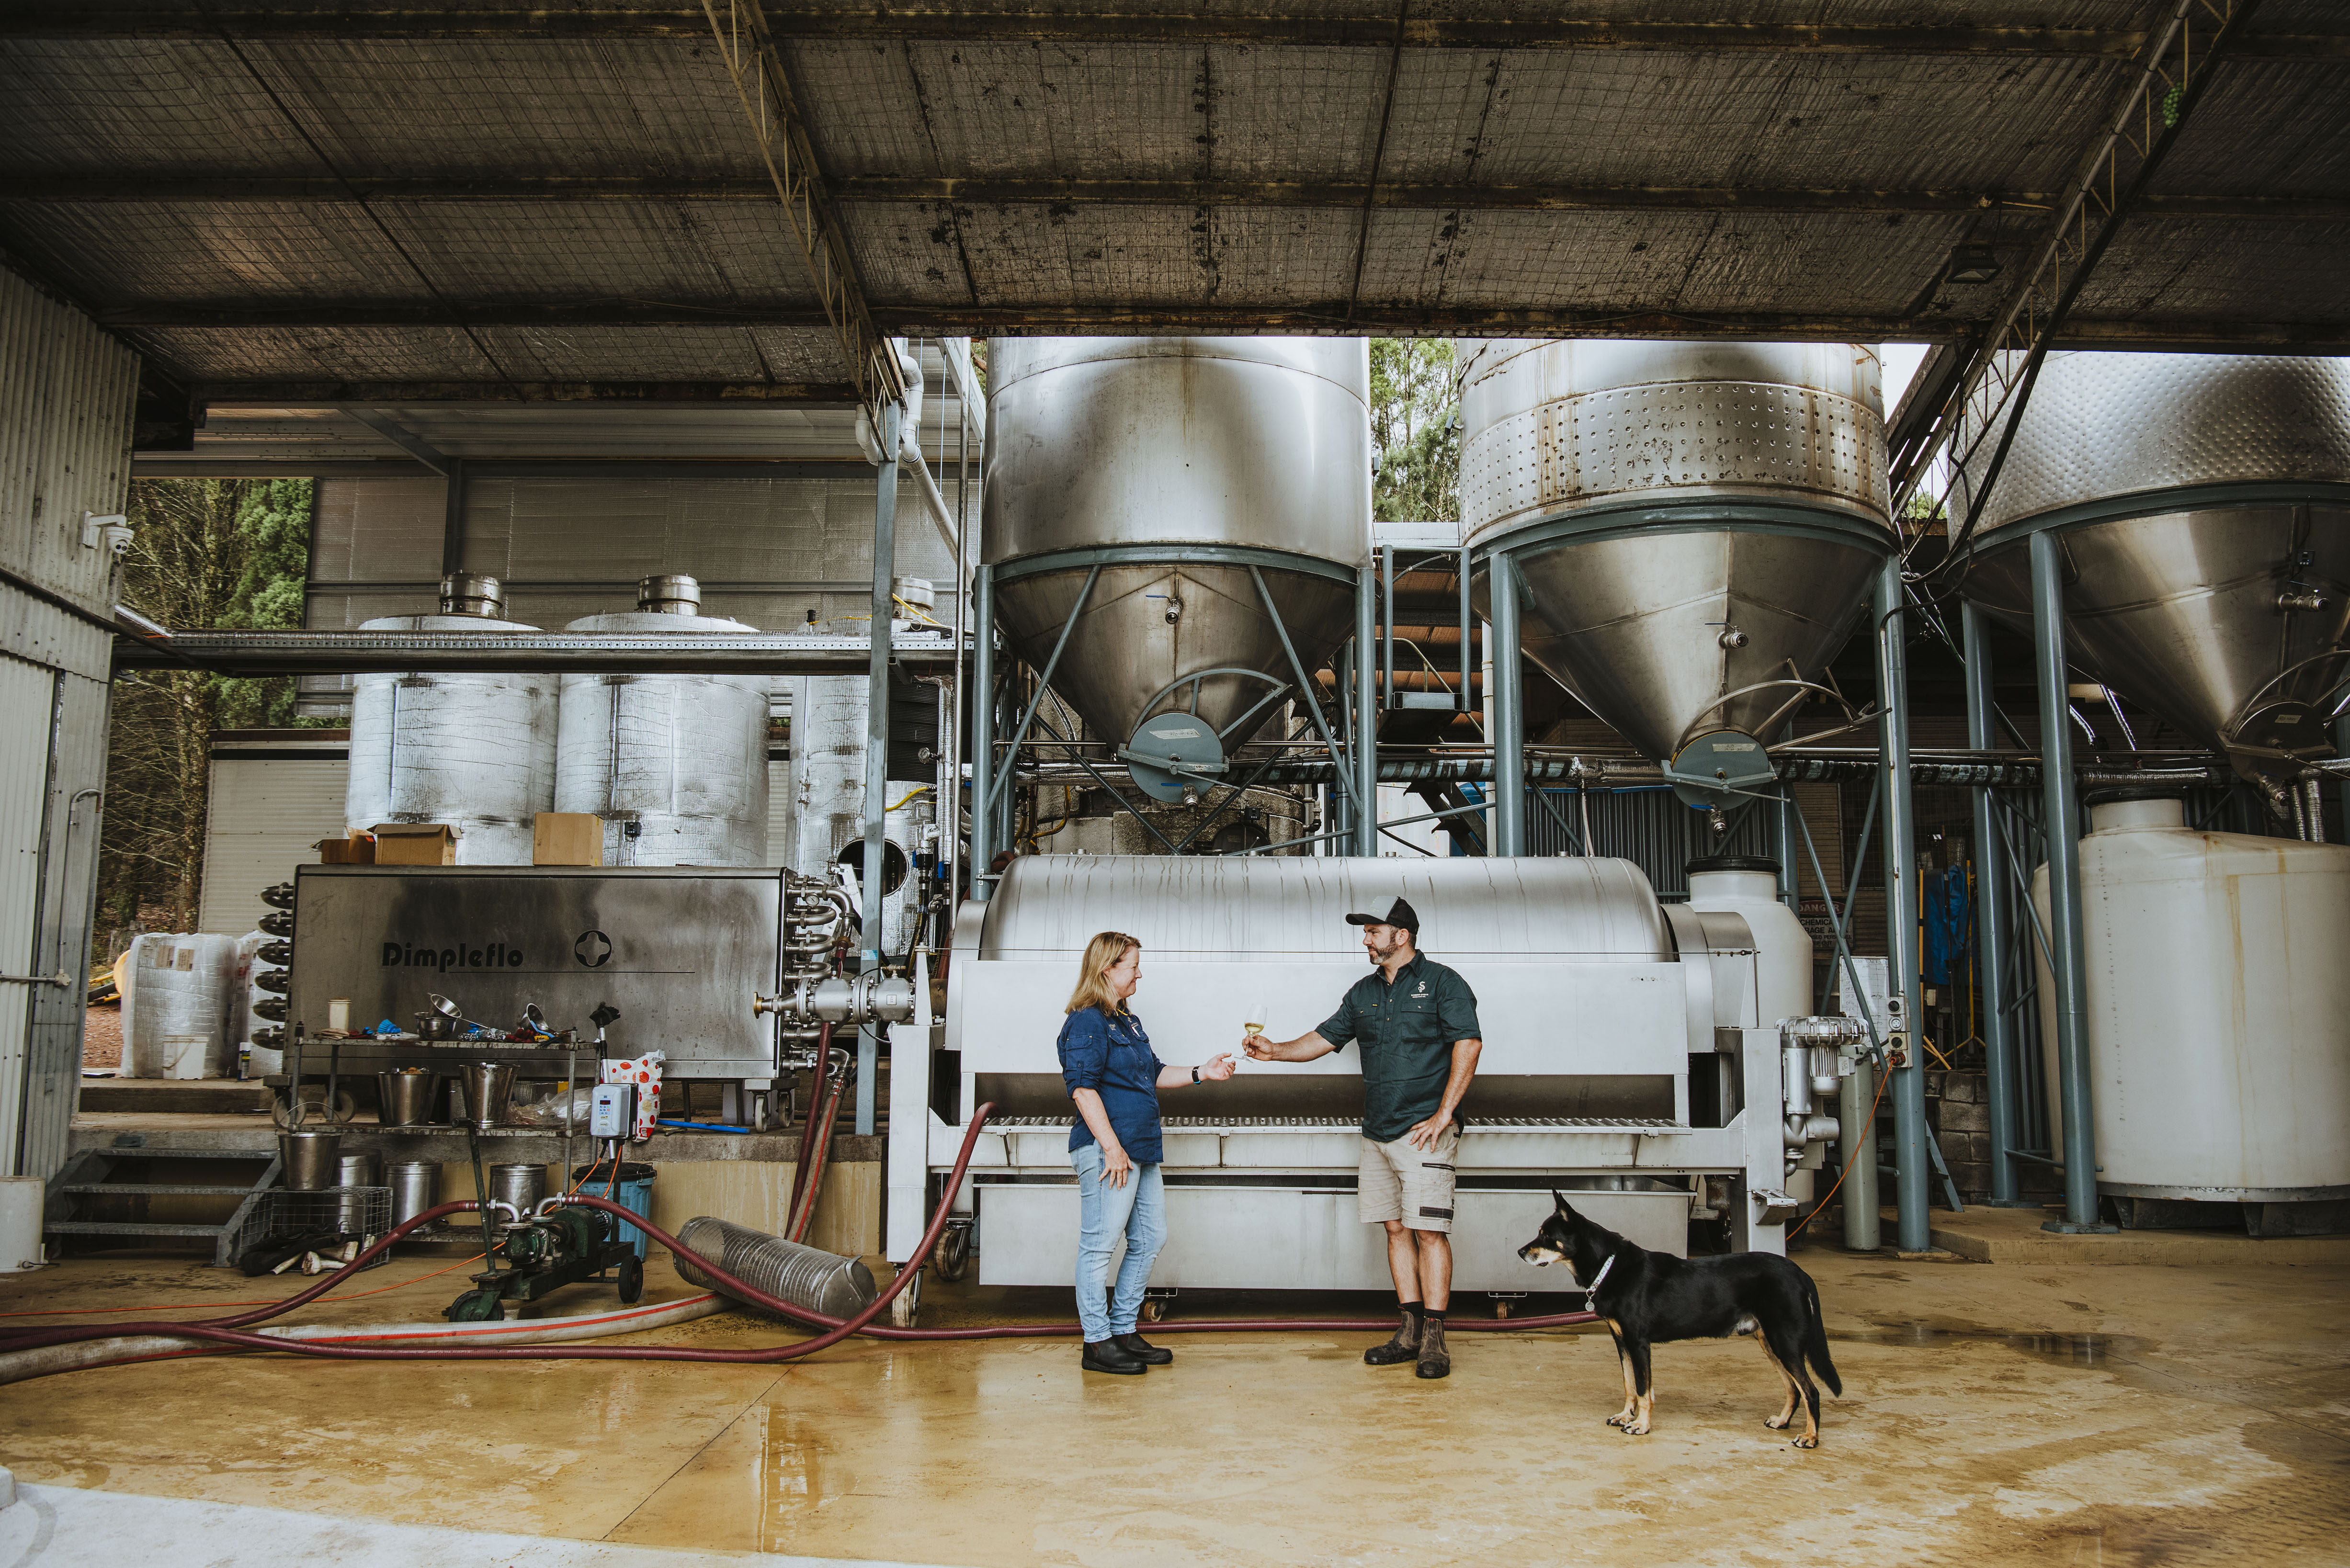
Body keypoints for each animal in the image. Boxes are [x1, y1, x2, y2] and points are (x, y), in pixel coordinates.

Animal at [1522, 1203, 1833, 1448]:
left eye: (1546, 1235)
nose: (1520, 1252)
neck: (1610, 1266)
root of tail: (1799, 1273)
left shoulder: (1639, 1343)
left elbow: (1643, 1390)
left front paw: (1641, 1425)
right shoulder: (1622, 1341)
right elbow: (1629, 1385)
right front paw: (1626, 1416)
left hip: (1785, 1342)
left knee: (1811, 1391)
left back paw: (1810, 1438)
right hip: (1770, 1342)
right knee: (1794, 1389)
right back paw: (1783, 1421)